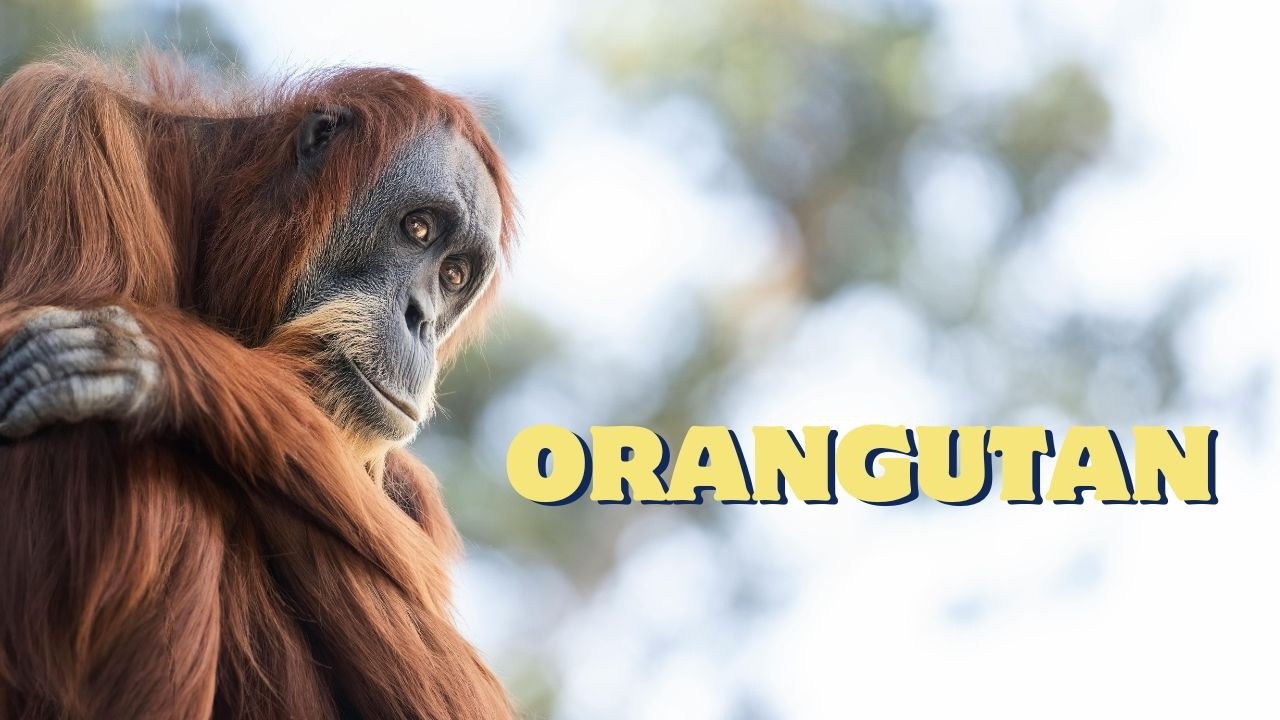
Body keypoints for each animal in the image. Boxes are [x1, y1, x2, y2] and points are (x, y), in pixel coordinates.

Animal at [0, 54, 516, 719]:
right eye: (419, 229)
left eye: (454, 276)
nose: (421, 319)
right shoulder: (66, 127)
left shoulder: (409, 488)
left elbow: (467, 692)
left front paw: (160, 360)